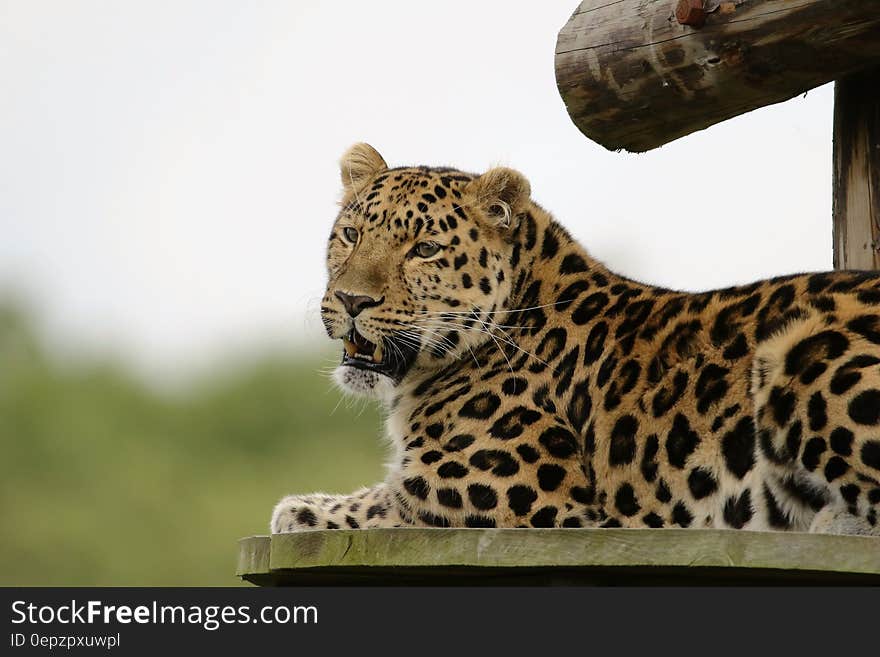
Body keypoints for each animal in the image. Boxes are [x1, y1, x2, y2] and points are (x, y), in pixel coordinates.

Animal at [270, 142, 880, 532]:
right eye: (351, 235)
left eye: (424, 249)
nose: (352, 300)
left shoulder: (505, 493)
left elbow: (383, 503)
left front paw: (299, 510)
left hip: (800, 351)